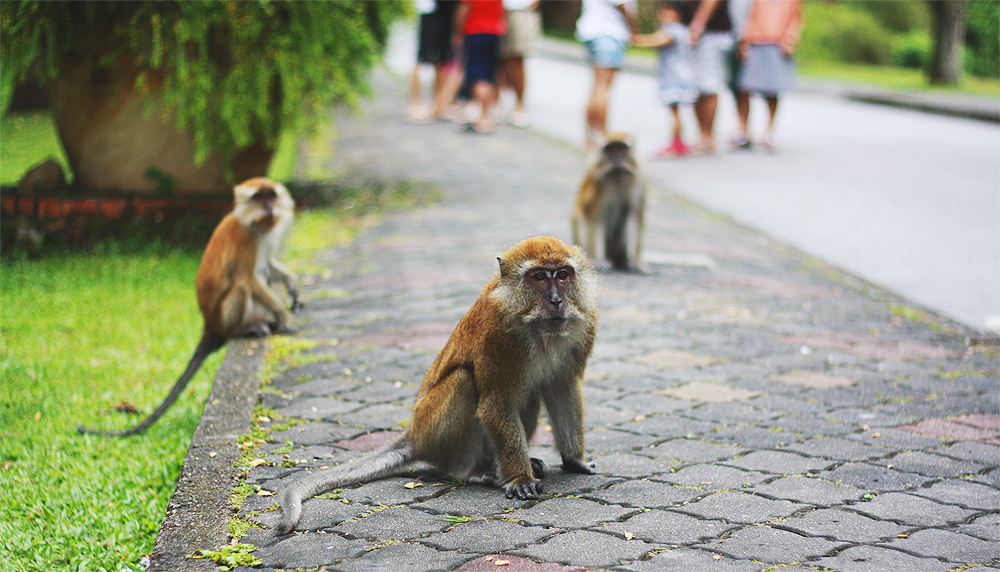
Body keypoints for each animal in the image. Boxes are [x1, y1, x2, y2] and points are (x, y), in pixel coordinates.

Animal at [78, 177, 299, 437]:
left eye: (271, 196)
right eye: (259, 197)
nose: (269, 208)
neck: (255, 225)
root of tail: (210, 326)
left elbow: (270, 266)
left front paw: (292, 284)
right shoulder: (245, 238)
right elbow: (248, 277)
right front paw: (283, 315)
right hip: (223, 317)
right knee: (242, 286)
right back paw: (245, 329)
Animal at [276, 236, 599, 535]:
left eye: (563, 274)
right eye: (539, 277)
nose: (557, 300)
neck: (537, 326)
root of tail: (415, 434)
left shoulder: (585, 324)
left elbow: (561, 388)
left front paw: (574, 460)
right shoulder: (497, 334)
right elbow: (496, 401)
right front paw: (520, 479)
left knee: (529, 394)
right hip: (433, 428)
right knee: (464, 381)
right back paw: (473, 472)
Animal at [571, 132, 645, 272]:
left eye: (621, 148)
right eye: (610, 149)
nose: (616, 160)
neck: (618, 177)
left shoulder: (640, 182)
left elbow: (634, 215)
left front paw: (635, 261)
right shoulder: (597, 184)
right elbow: (596, 218)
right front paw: (600, 260)